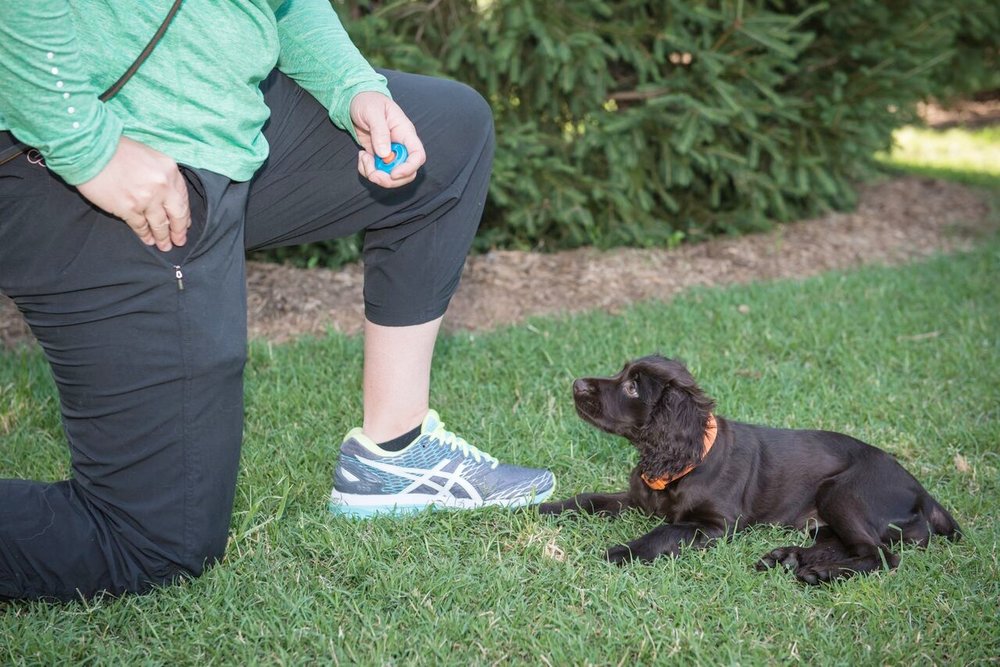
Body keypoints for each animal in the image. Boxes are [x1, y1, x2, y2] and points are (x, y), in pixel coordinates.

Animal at [540, 354, 960, 584]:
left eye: (633, 387)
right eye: (621, 373)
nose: (577, 384)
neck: (687, 460)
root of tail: (923, 492)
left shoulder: (715, 525)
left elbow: (664, 532)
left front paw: (621, 552)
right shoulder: (637, 499)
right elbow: (588, 499)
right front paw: (542, 507)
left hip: (842, 492)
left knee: (881, 555)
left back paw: (819, 573)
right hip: (823, 516)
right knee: (843, 543)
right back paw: (790, 558)